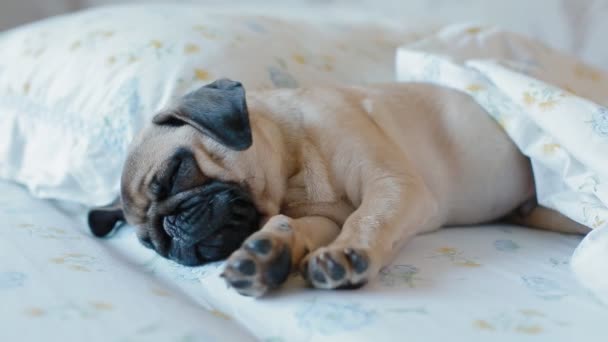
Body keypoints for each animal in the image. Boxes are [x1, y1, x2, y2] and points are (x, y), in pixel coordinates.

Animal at [88, 78, 588, 296]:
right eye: (149, 245)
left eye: (177, 171)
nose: (170, 230)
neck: (294, 169)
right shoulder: (321, 218)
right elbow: (295, 226)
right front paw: (267, 252)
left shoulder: (393, 185)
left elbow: (368, 219)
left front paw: (346, 254)